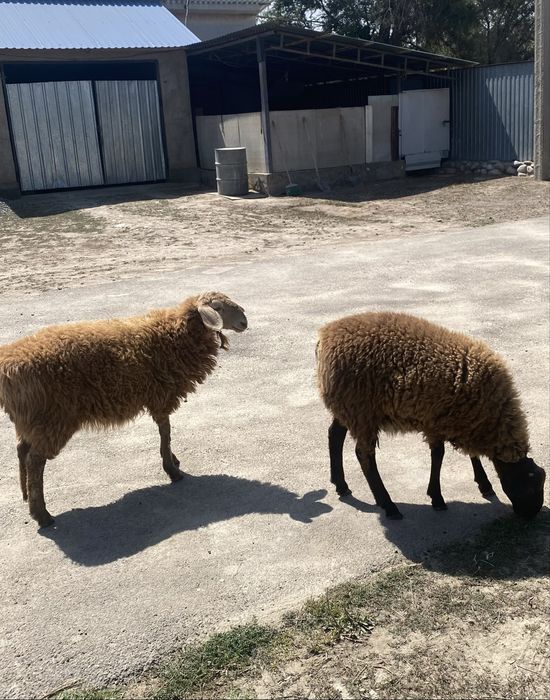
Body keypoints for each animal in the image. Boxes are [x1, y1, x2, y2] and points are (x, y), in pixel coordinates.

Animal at [0, 292, 247, 528]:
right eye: (217, 307)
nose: (244, 321)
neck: (174, 334)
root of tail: (7, 367)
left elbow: (165, 432)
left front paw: (173, 461)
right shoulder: (161, 395)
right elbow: (165, 432)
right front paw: (172, 470)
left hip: (30, 420)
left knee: (22, 450)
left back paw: (25, 495)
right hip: (51, 418)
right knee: (35, 461)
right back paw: (42, 515)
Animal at [316, 311, 546, 520]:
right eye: (527, 486)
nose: (531, 515)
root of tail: (324, 337)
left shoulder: (466, 420)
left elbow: (471, 454)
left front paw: (484, 484)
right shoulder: (438, 420)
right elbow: (438, 456)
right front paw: (437, 498)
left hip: (349, 407)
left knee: (334, 435)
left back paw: (341, 485)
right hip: (361, 409)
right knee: (364, 455)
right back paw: (388, 505)